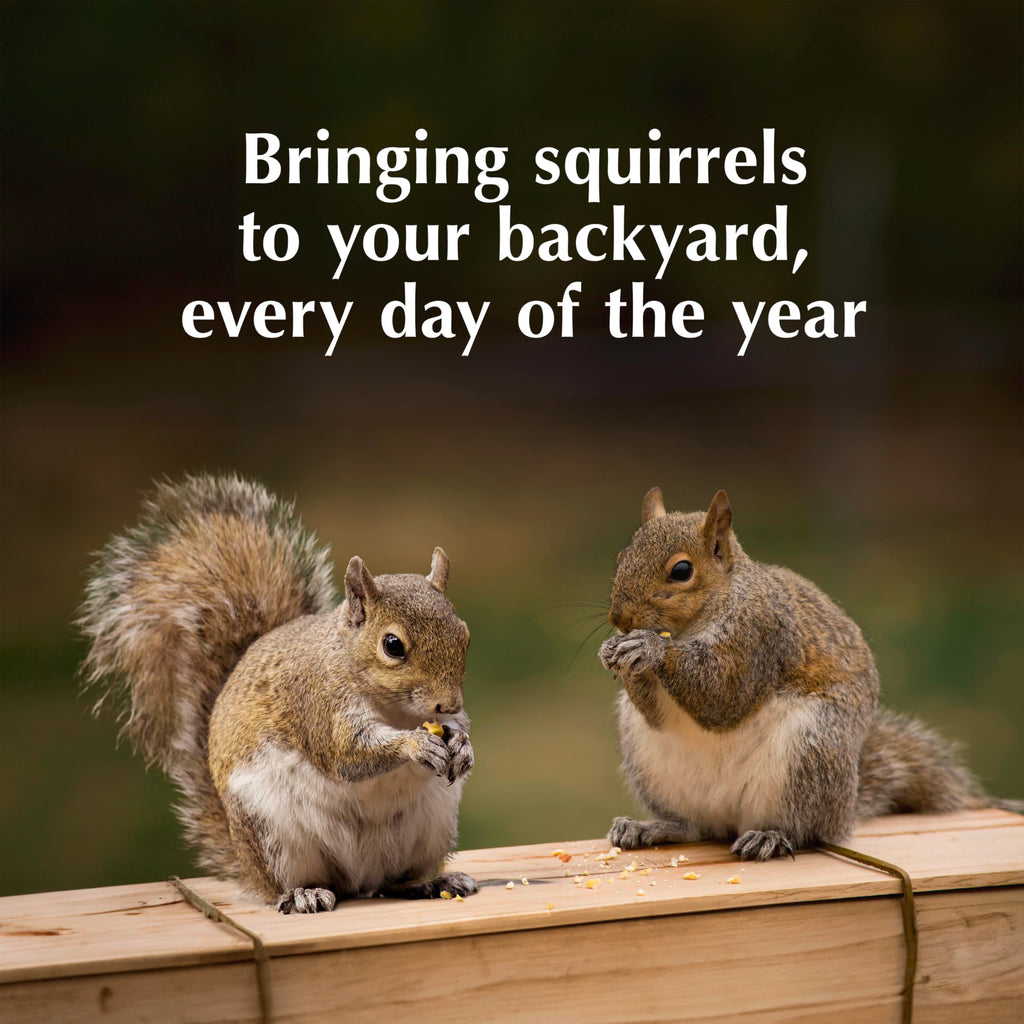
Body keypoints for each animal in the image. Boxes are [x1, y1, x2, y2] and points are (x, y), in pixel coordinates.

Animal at [78, 474, 477, 913]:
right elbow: (348, 754)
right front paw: (415, 745)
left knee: (393, 880)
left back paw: (430, 882)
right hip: (272, 834)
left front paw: (463, 745)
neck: (395, 709)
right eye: (392, 645)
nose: (449, 703)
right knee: (284, 886)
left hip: (432, 825)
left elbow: (452, 731)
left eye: (464, 635)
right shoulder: (318, 704)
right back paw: (305, 893)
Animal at [600, 487, 1019, 860]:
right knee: (695, 827)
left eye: (682, 571)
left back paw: (770, 837)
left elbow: (724, 697)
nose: (620, 619)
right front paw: (614, 651)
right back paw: (653, 827)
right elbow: (655, 713)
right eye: (621, 557)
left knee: (805, 830)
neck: (692, 626)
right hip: (650, 762)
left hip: (811, 750)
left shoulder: (762, 637)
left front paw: (649, 649)